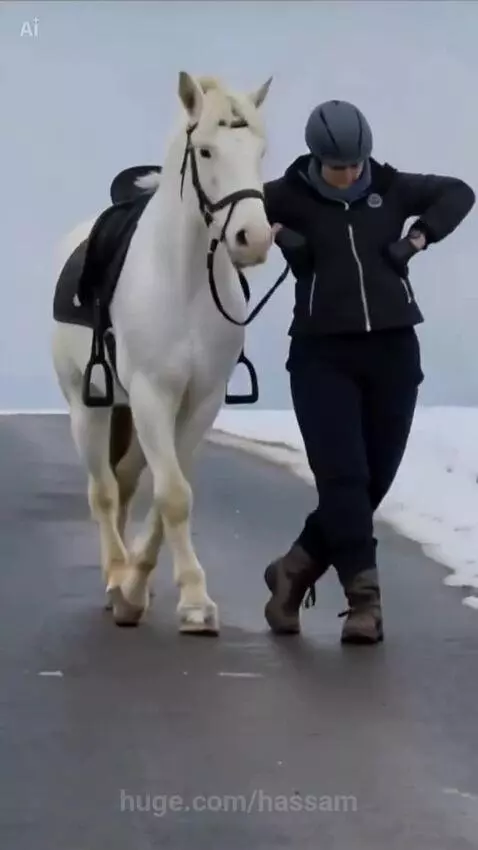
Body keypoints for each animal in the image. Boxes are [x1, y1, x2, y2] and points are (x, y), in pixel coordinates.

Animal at [51, 71, 275, 634]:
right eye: (207, 150)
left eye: (261, 151)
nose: (255, 238)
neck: (185, 279)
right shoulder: (154, 396)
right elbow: (172, 495)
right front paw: (156, 594)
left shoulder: (201, 401)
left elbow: (170, 490)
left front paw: (159, 587)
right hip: (88, 406)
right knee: (104, 490)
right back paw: (114, 573)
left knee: (127, 480)